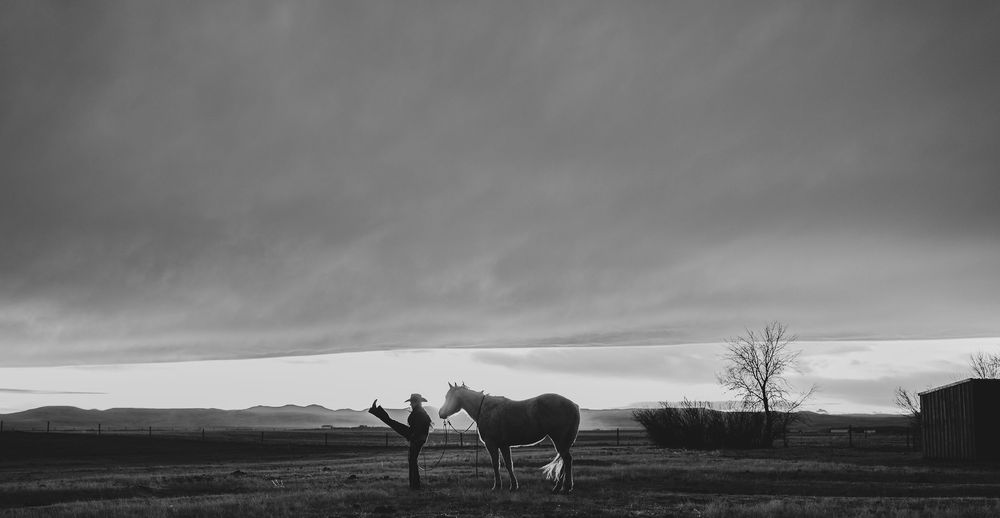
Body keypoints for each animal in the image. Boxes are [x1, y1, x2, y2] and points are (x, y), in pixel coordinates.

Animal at [438, 382, 580, 493]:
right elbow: (508, 464)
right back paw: (560, 487)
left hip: (559, 440)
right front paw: (513, 486)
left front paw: (497, 486)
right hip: (562, 442)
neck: (485, 409)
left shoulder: (492, 444)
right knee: (564, 461)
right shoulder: (504, 445)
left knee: (567, 460)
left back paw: (565, 487)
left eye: (448, 397)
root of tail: (574, 405)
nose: (441, 413)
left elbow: (496, 464)